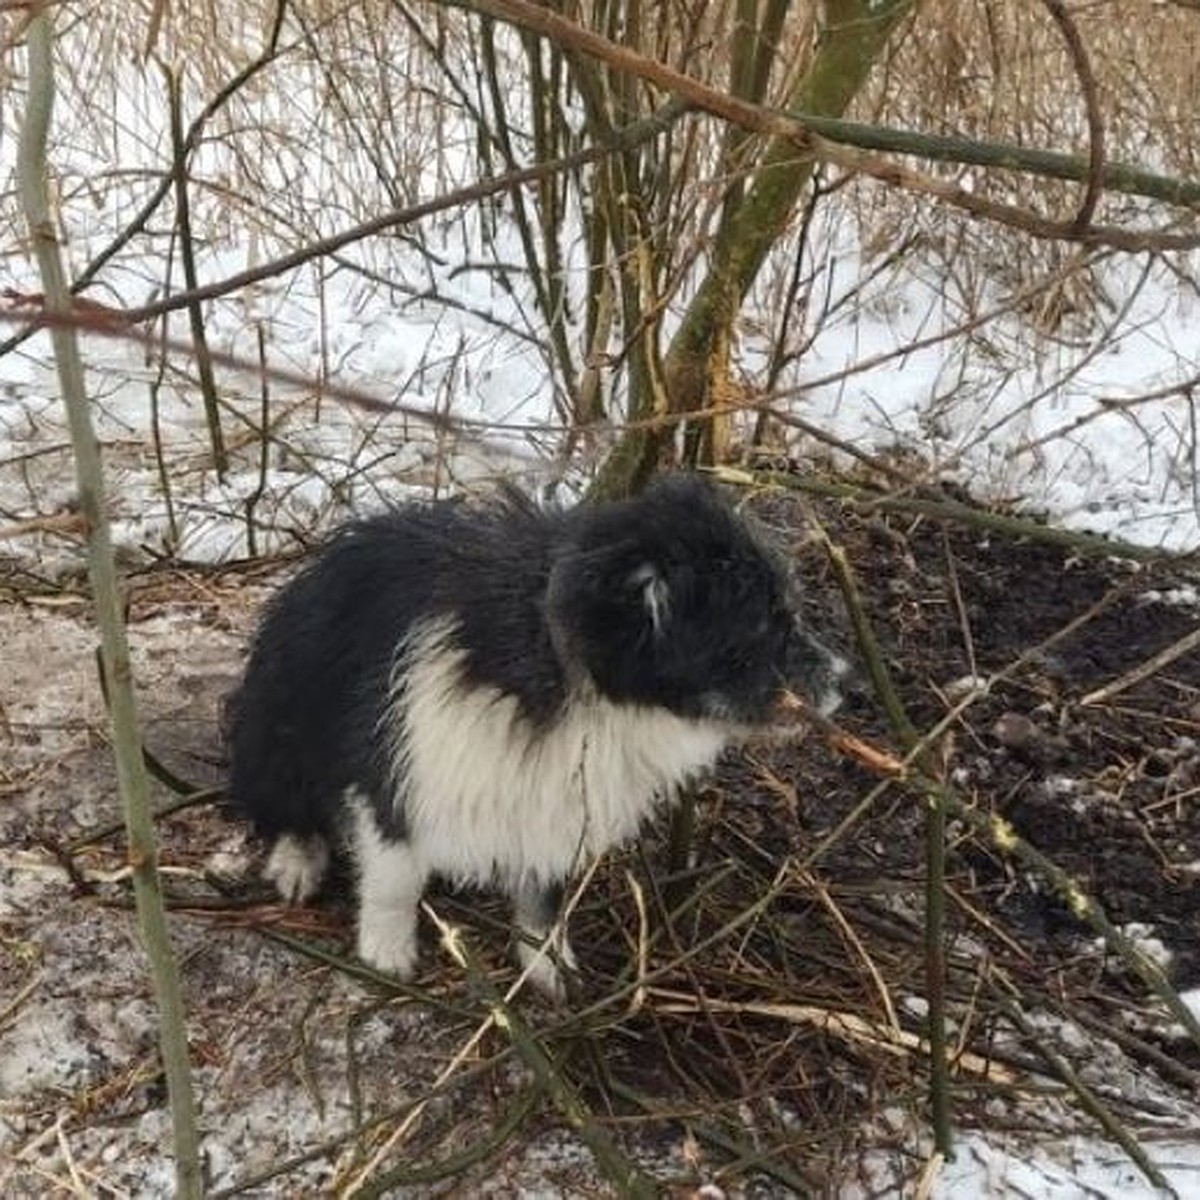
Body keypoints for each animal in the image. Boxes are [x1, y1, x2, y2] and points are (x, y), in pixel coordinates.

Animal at [225, 472, 844, 998]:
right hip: (276, 724)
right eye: (762, 628)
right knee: (283, 805)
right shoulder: (397, 774)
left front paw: (549, 968)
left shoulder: (557, 805)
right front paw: (386, 952)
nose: (850, 683)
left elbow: (545, 904)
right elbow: (395, 878)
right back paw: (296, 861)